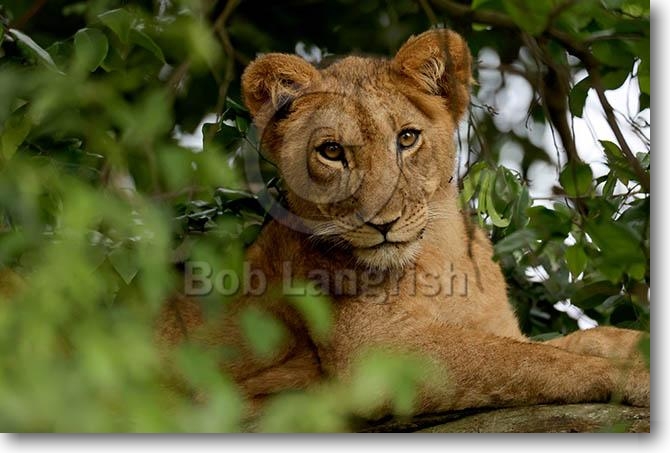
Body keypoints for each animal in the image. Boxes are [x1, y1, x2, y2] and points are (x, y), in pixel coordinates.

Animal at [157, 29, 649, 421]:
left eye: (407, 138)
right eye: (331, 151)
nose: (382, 222)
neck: (440, 253)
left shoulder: (500, 328)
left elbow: (578, 341)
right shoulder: (377, 356)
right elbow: (534, 362)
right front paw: (639, 378)